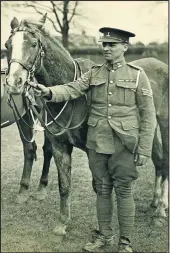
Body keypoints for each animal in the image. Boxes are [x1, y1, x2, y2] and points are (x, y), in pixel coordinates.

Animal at [4, 14, 168, 234]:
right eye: (8, 45)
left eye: (33, 44)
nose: (14, 83)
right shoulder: (60, 145)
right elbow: (64, 185)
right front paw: (62, 224)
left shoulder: (95, 150)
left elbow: (99, 186)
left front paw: (101, 228)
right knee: (159, 161)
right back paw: (155, 202)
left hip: (164, 125)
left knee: (165, 162)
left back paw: (160, 210)